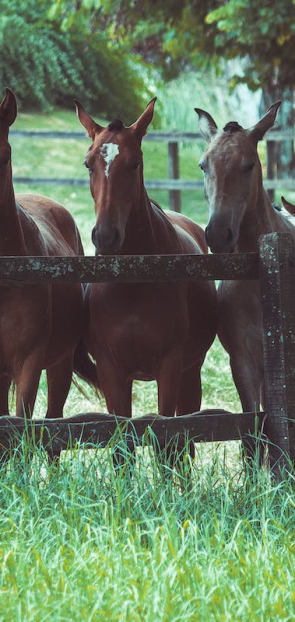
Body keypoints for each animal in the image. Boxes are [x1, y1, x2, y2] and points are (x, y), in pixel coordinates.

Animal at [74, 96, 217, 420]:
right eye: (88, 164)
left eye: (135, 163)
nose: (106, 236)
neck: (133, 281)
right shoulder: (111, 371)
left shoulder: (171, 366)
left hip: (191, 374)